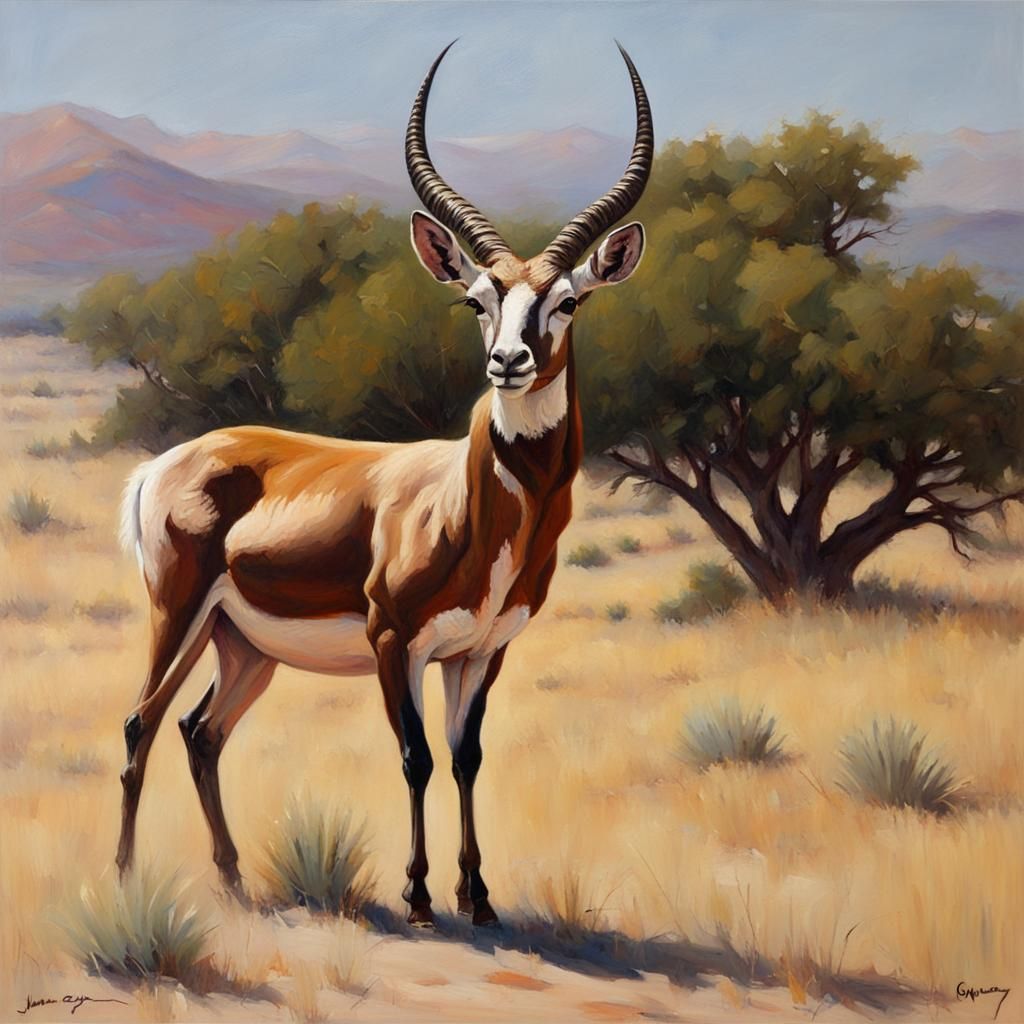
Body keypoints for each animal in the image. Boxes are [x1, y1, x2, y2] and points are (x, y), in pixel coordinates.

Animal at [114, 41, 652, 927]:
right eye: (477, 300)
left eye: (568, 301)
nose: (509, 362)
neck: (476, 508)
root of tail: (167, 462)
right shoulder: (394, 641)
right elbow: (415, 757)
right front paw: (420, 896)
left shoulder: (482, 650)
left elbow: (468, 757)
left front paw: (479, 898)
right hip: (179, 612)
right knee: (140, 722)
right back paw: (125, 880)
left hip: (244, 645)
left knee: (199, 730)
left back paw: (231, 879)